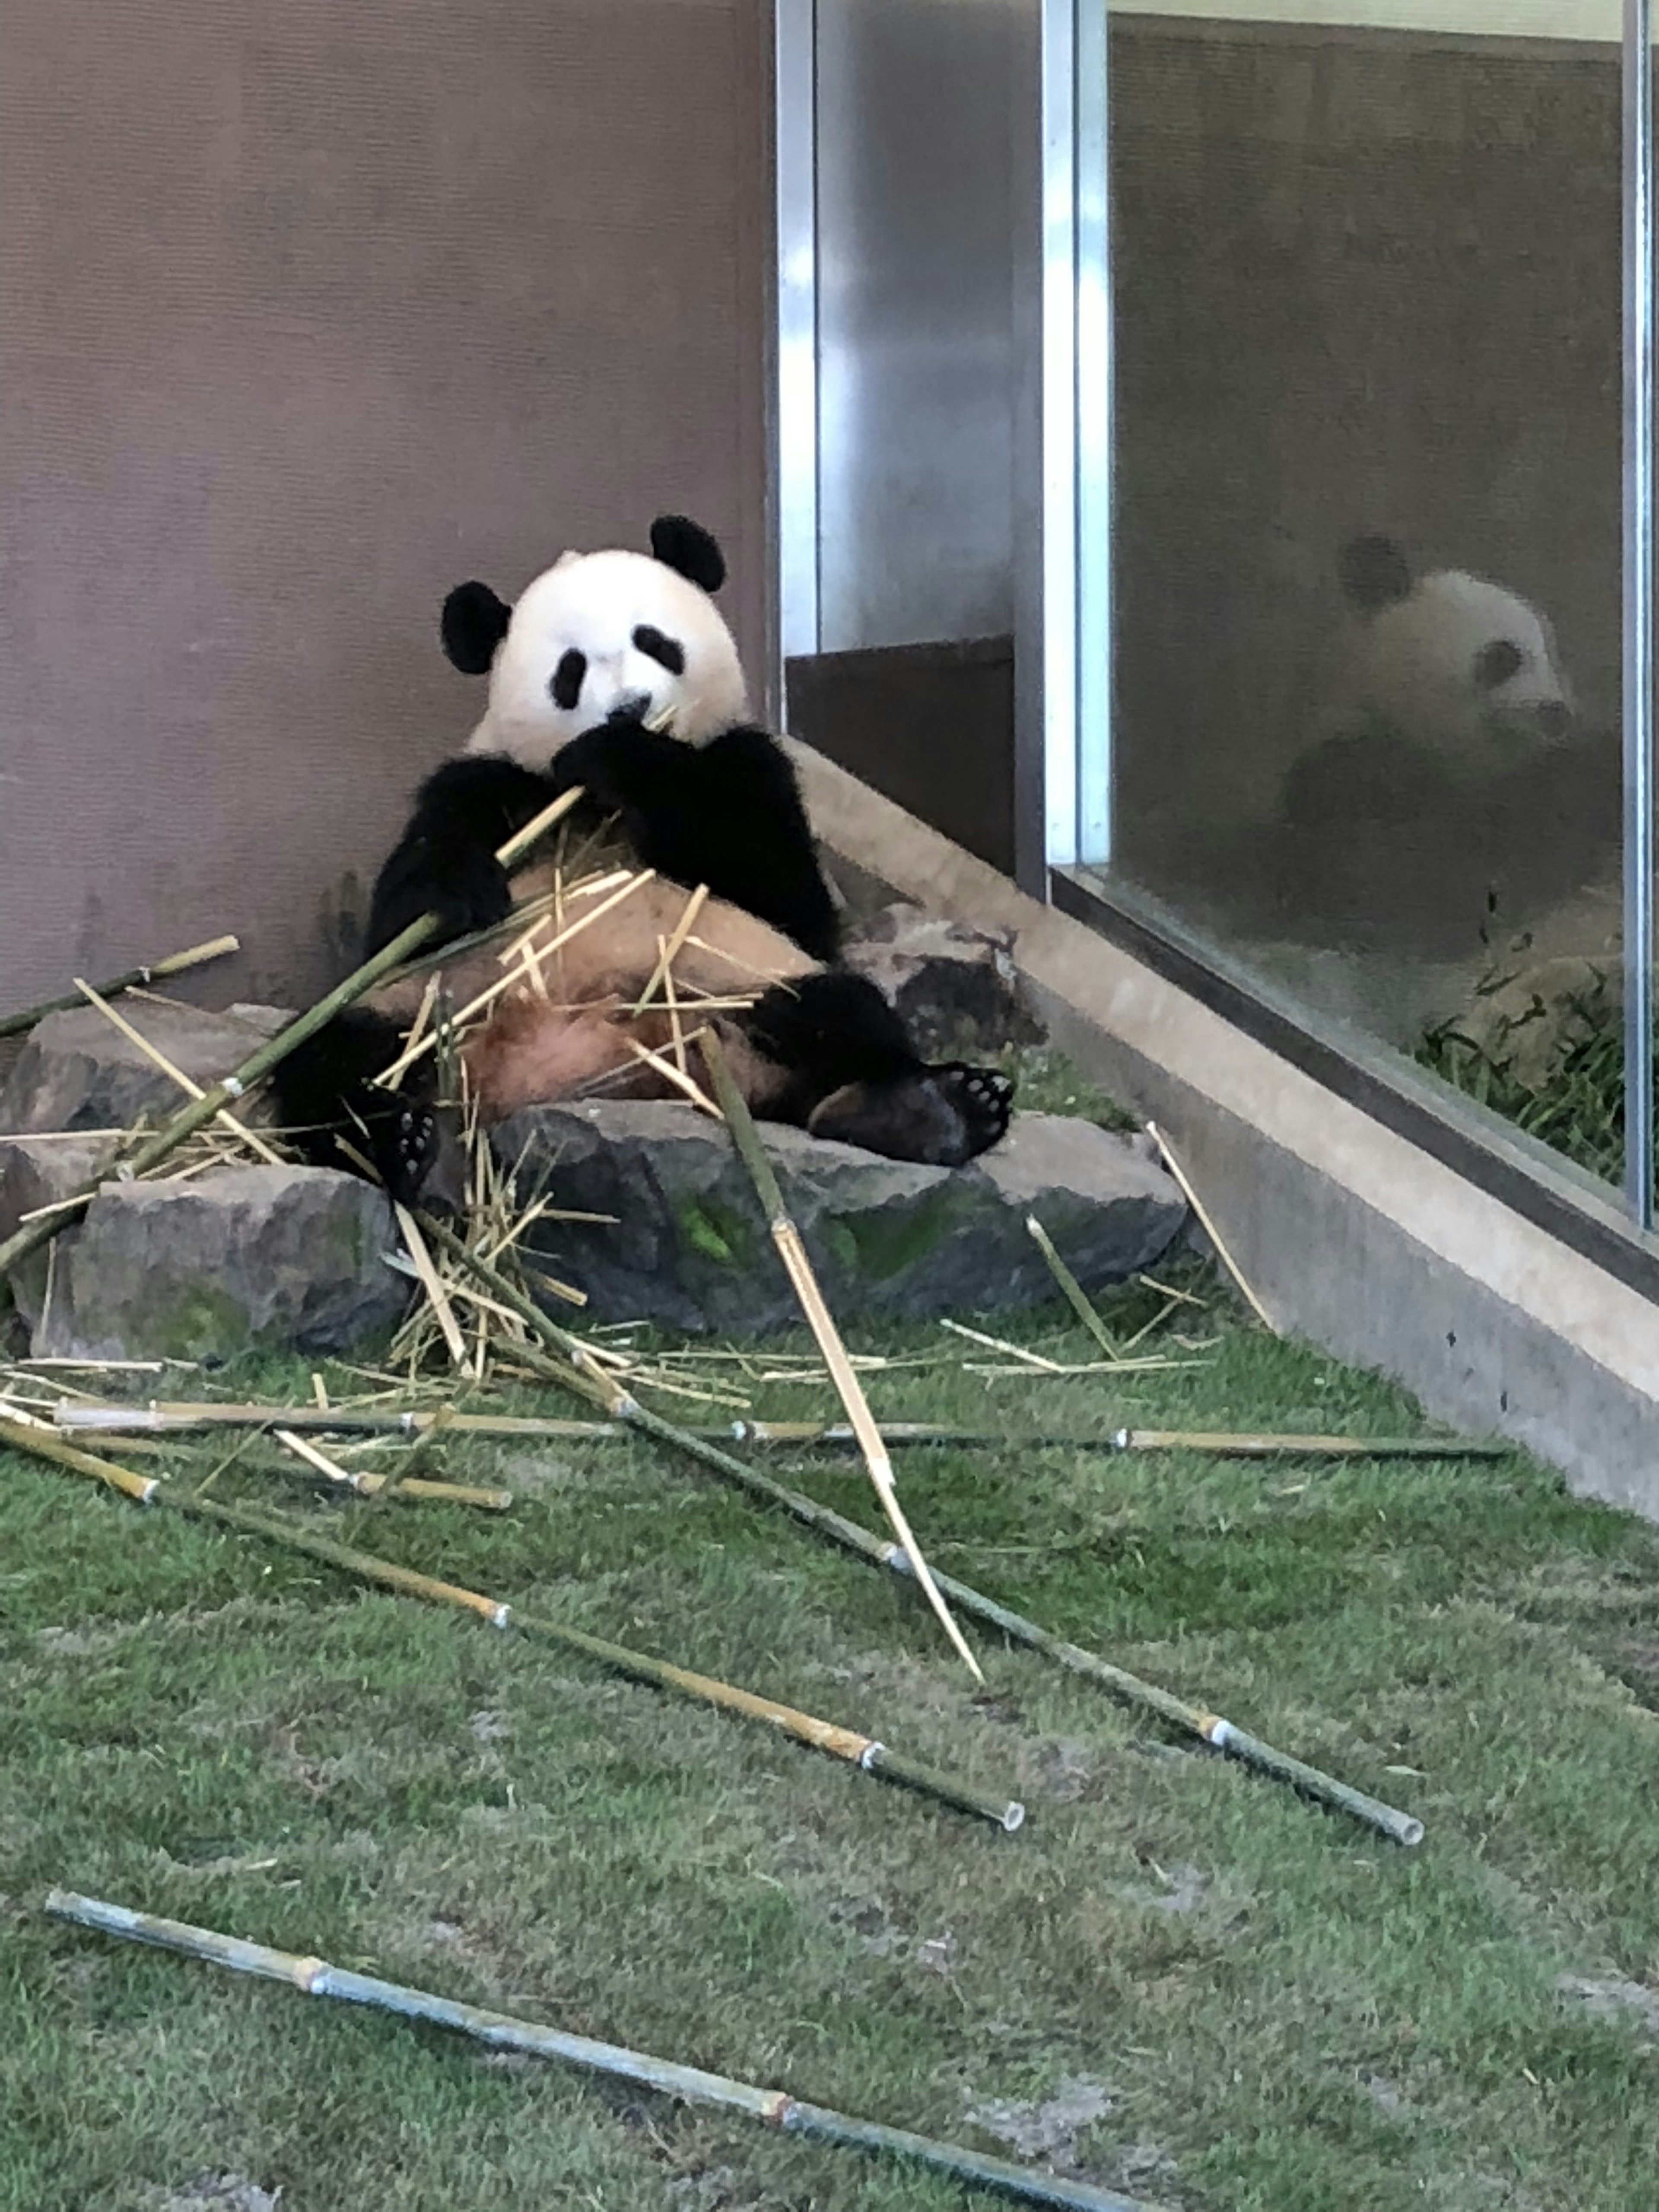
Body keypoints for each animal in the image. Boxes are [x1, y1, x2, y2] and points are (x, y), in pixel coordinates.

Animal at [280, 509, 1022, 1203]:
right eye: (571, 671)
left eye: (655, 643)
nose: (631, 708)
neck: (590, 802)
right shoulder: (487, 782)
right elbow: (402, 914)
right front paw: (459, 892)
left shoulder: (750, 766)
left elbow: (785, 896)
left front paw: (628, 754)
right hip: (435, 1008)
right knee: (333, 1056)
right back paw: (395, 1143)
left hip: (735, 985)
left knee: (833, 1012)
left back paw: (931, 1112)